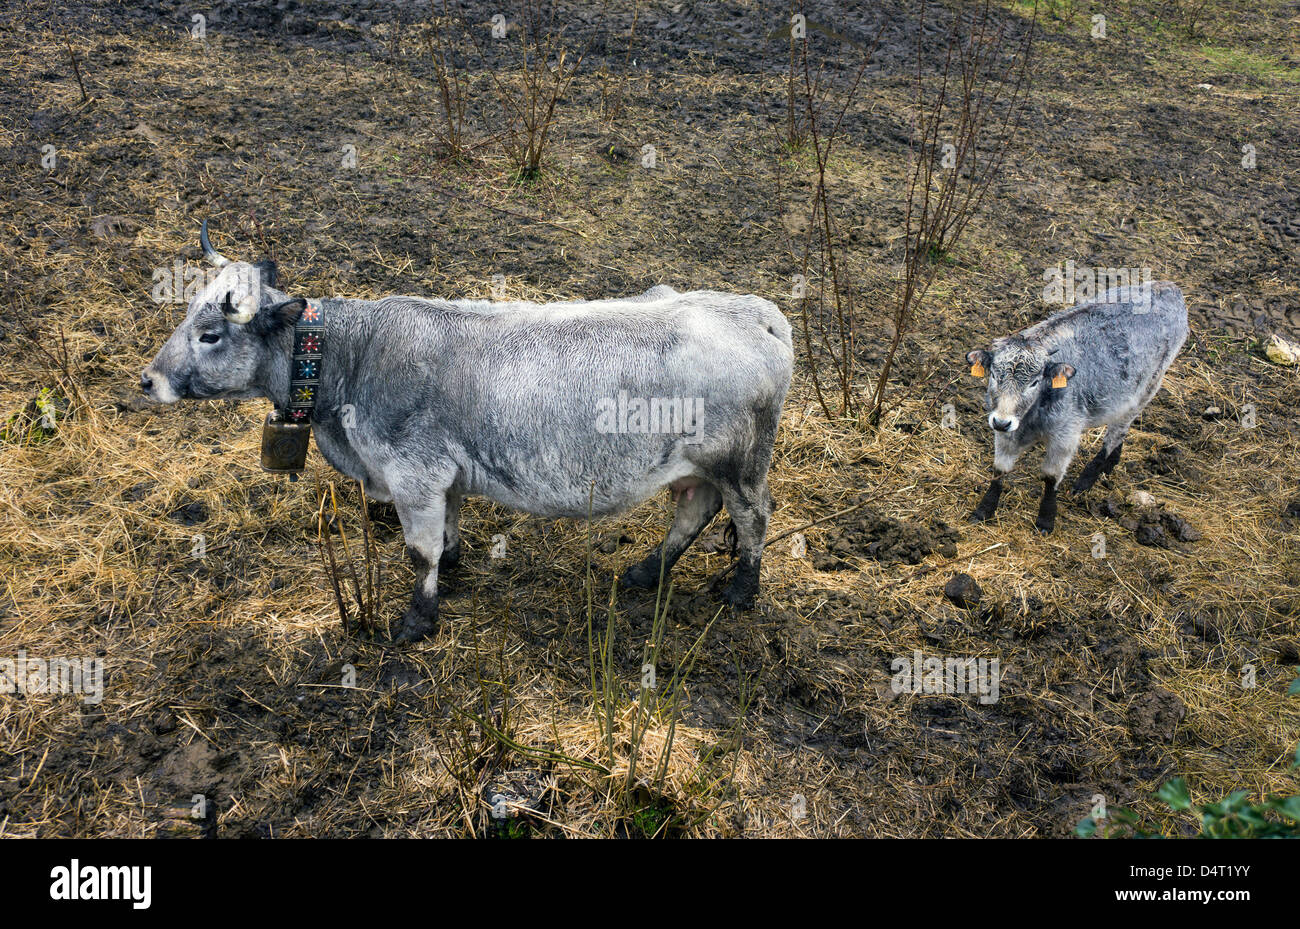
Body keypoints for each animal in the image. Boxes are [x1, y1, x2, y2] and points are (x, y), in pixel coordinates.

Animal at [142, 228, 790, 644]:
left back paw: (741, 590)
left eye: (209, 334)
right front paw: (451, 569)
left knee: (754, 515)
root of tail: (755, 312)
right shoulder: (442, 477)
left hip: (740, 464)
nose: (149, 380)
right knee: (693, 511)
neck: (353, 355)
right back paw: (646, 572)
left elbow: (417, 551)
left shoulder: (414, 476)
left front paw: (417, 620)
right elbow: (447, 532)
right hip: (695, 467)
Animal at [967, 279, 1190, 535]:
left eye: (1034, 382)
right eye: (994, 375)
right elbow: (999, 470)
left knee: (1117, 432)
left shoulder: (1065, 437)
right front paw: (984, 510)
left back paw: (1087, 480)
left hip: (1148, 388)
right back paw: (1110, 464)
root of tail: (1169, 287)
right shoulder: (1005, 432)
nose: (1002, 422)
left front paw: (1045, 519)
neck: (1033, 416)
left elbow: (1050, 477)